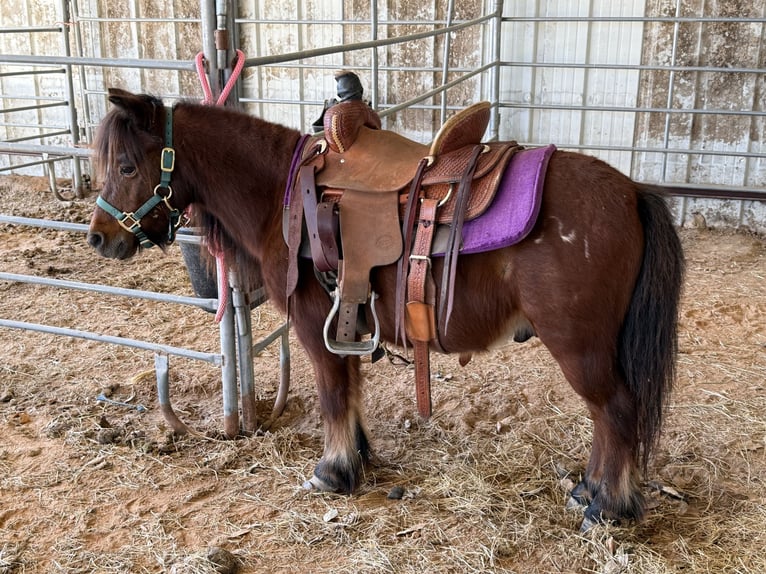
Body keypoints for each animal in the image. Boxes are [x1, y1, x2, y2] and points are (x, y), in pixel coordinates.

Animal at [87, 88, 684, 531]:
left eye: (126, 165)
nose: (98, 238)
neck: (282, 194)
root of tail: (631, 192)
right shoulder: (345, 320)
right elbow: (349, 390)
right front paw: (358, 456)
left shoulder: (314, 325)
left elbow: (332, 393)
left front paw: (332, 472)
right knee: (610, 418)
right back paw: (588, 490)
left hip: (579, 347)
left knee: (615, 412)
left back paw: (607, 506)